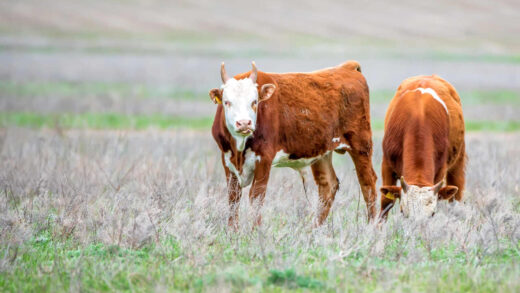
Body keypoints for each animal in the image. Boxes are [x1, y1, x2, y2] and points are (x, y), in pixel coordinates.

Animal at [208, 60, 378, 227]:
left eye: (254, 102)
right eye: (227, 102)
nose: (244, 123)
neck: (239, 149)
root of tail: (347, 67)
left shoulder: (264, 158)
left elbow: (256, 197)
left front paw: (254, 231)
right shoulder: (227, 160)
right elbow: (233, 199)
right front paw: (232, 231)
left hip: (361, 144)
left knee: (367, 183)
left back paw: (372, 226)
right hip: (322, 150)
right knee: (328, 185)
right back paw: (315, 228)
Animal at [378, 74, 468, 218]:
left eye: (432, 214)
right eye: (403, 212)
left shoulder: (440, 170)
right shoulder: (386, 164)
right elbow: (386, 202)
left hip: (458, 161)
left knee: (455, 198)